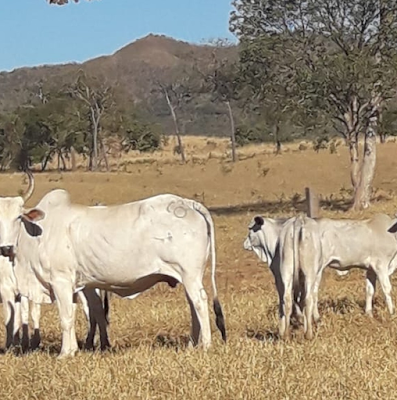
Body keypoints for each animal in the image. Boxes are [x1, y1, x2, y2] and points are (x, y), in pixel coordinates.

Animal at [16, 189, 223, 358]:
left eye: (18, 217)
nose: (8, 247)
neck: (40, 233)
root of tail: (187, 203)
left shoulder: (61, 281)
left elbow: (66, 318)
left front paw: (65, 353)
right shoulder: (77, 285)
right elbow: (80, 314)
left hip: (190, 275)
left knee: (200, 302)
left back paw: (205, 345)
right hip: (187, 277)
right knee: (193, 305)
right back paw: (191, 345)